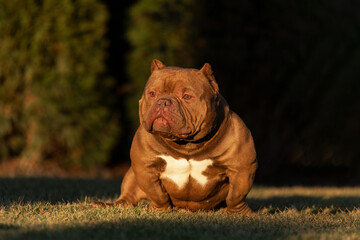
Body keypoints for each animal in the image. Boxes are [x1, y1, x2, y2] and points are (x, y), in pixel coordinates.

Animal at [91, 60, 258, 216]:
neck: (187, 144)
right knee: (128, 197)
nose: (163, 102)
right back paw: (105, 205)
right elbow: (157, 194)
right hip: (131, 175)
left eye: (187, 96)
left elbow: (235, 196)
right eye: (152, 94)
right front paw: (159, 210)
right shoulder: (144, 167)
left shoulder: (242, 168)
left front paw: (240, 214)